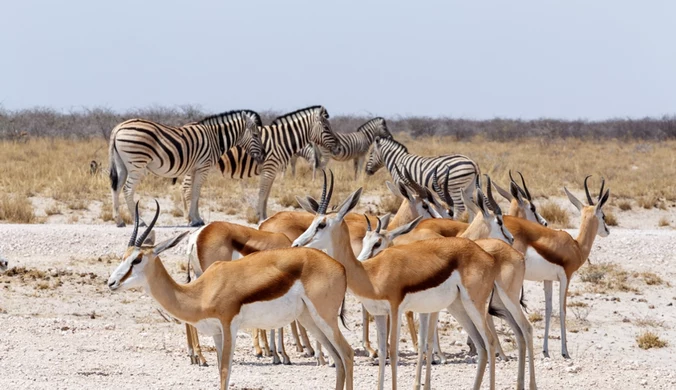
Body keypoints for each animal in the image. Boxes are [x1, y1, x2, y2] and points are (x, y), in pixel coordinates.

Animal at [107, 109, 262, 229]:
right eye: (255, 135)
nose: (263, 155)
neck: (215, 139)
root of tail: (118, 127)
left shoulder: (194, 169)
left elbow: (193, 193)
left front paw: (195, 218)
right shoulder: (203, 167)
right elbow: (196, 193)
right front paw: (196, 220)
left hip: (122, 165)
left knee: (116, 188)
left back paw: (119, 221)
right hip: (137, 163)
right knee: (127, 190)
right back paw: (139, 222)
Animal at [107, 201, 354, 390]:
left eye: (137, 259)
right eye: (124, 256)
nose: (111, 283)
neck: (202, 292)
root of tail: (340, 266)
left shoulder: (228, 327)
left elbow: (225, 372)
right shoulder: (217, 333)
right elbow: (219, 370)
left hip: (325, 318)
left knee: (347, 353)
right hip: (309, 319)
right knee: (337, 359)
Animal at [296, 173, 502, 390]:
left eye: (321, 224)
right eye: (312, 221)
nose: (298, 244)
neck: (370, 274)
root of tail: (487, 255)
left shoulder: (395, 311)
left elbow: (394, 353)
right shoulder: (379, 314)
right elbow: (382, 353)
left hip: (474, 305)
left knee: (490, 341)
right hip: (457, 306)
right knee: (481, 346)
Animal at [504, 177, 608, 360]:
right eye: (603, 215)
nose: (607, 230)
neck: (576, 247)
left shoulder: (548, 280)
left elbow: (548, 310)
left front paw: (545, 351)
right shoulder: (566, 277)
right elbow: (562, 310)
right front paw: (565, 352)